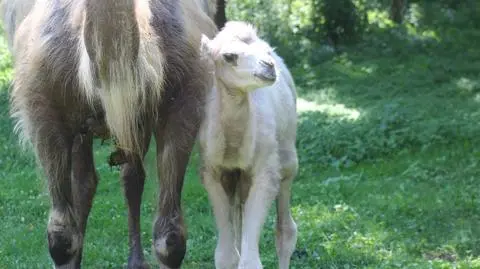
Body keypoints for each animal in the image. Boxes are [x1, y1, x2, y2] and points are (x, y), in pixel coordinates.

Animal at [198, 21, 296, 268]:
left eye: (266, 51)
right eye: (229, 56)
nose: (269, 67)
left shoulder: (266, 172)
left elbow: (250, 260)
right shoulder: (213, 172)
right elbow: (226, 255)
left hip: (288, 159)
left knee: (285, 231)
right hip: (238, 179)